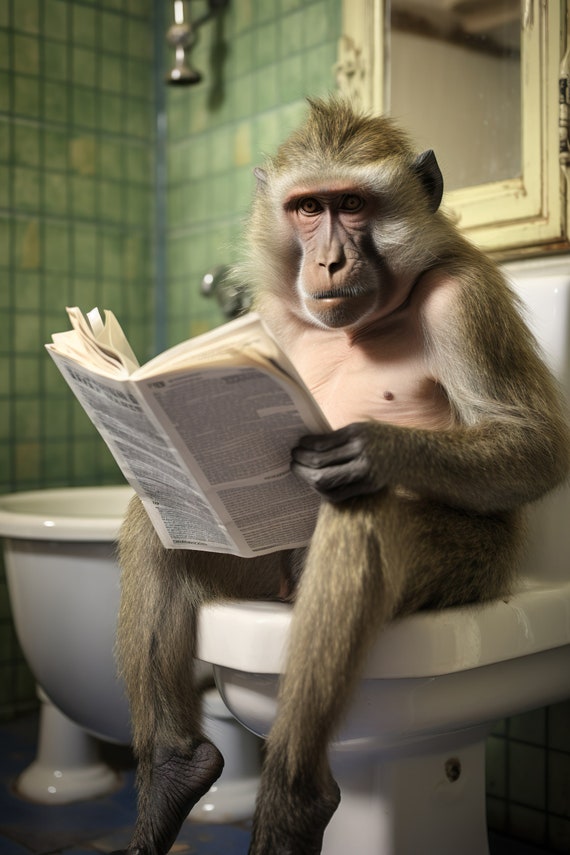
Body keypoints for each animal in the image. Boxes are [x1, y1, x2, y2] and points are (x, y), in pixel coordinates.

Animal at [111, 98, 570, 855]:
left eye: (352, 204)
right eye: (307, 207)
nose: (329, 259)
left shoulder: (465, 297)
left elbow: (536, 446)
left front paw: (368, 450)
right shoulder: (269, 317)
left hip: (472, 572)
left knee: (362, 518)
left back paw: (296, 798)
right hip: (261, 579)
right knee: (161, 518)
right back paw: (176, 771)